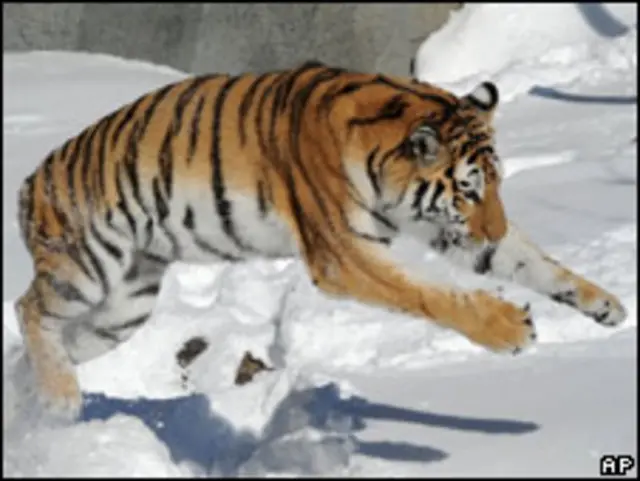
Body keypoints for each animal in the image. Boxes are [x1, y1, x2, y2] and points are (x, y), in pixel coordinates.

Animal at [15, 60, 627, 421]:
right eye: (471, 189)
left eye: (497, 185)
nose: (492, 226)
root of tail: (29, 181)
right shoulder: (345, 254)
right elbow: (431, 295)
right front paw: (509, 329)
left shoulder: (450, 232)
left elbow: (533, 262)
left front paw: (607, 306)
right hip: (87, 270)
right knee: (28, 309)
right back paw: (61, 398)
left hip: (124, 308)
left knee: (56, 338)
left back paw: (35, 394)